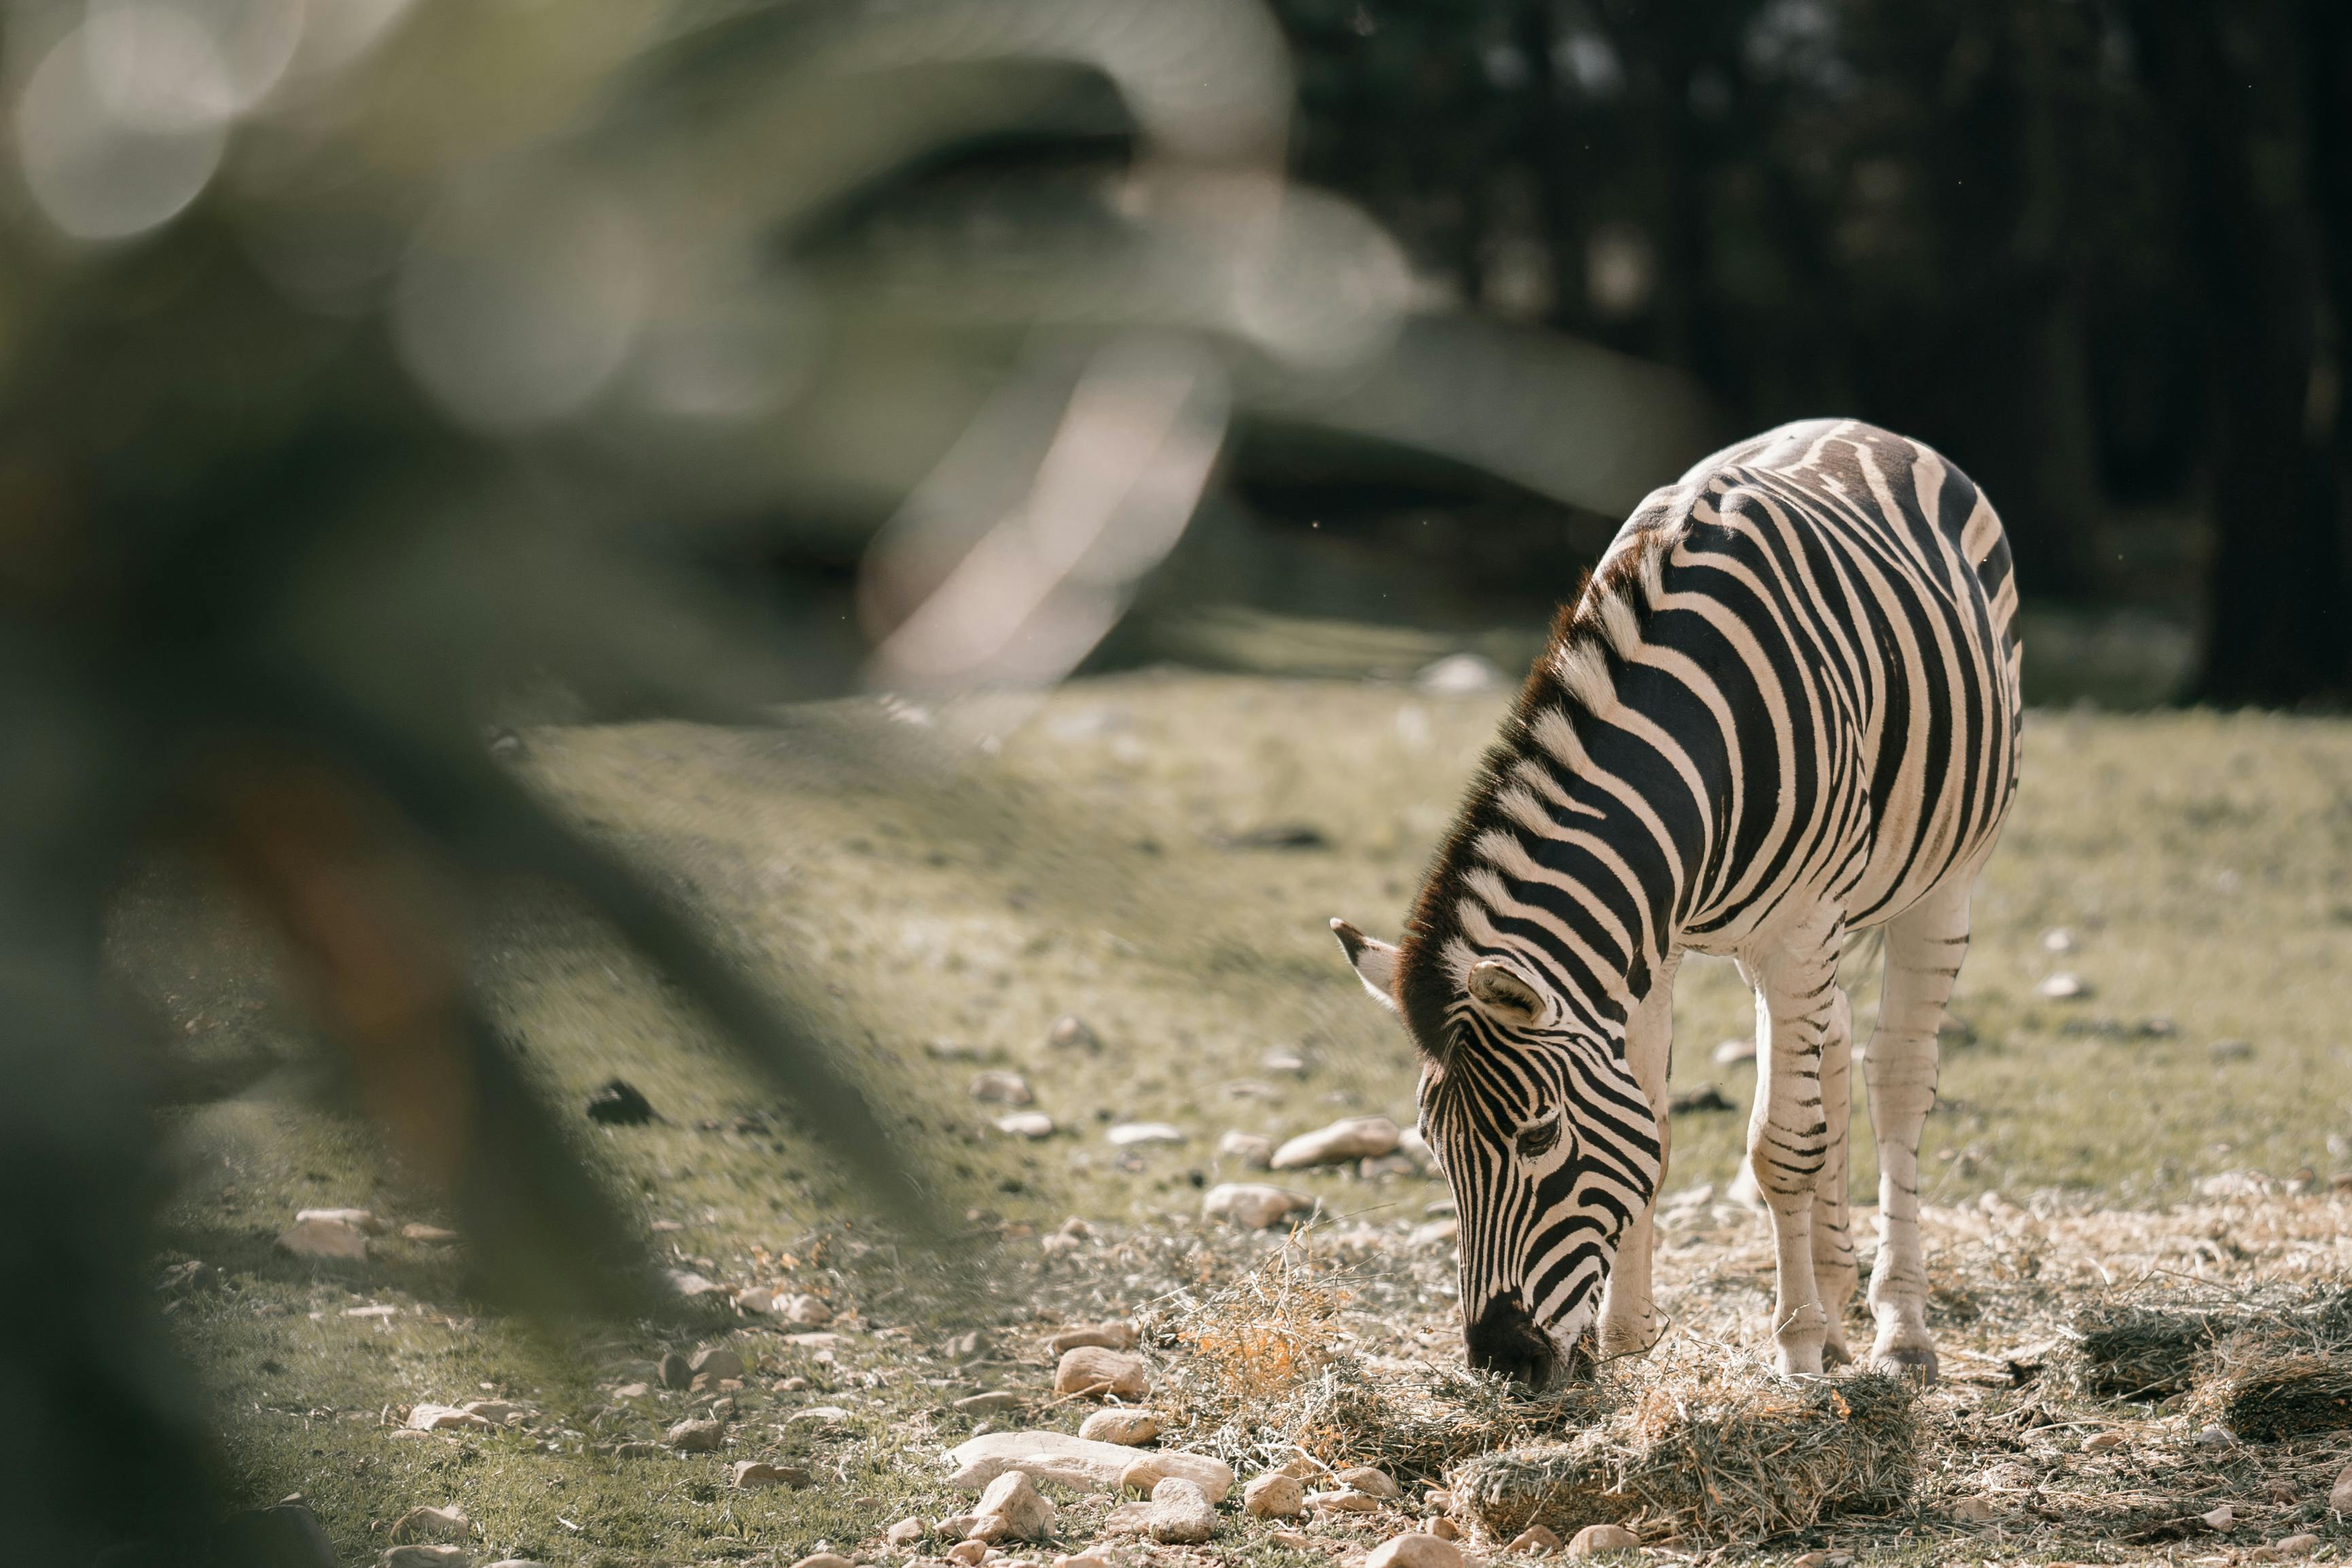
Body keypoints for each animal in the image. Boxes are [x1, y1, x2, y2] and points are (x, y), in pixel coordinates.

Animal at [1333, 419, 2020, 1387]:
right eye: (1435, 1148)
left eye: (1538, 1136)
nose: (1501, 1363)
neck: (1692, 733)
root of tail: (1863, 428)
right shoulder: (1648, 943)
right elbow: (1652, 1123)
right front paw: (1626, 1337)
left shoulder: (1798, 928)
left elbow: (1783, 1146)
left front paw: (1795, 1351)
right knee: (1834, 1045)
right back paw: (1840, 1302)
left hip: (1941, 884)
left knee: (1897, 1081)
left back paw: (1898, 1330)